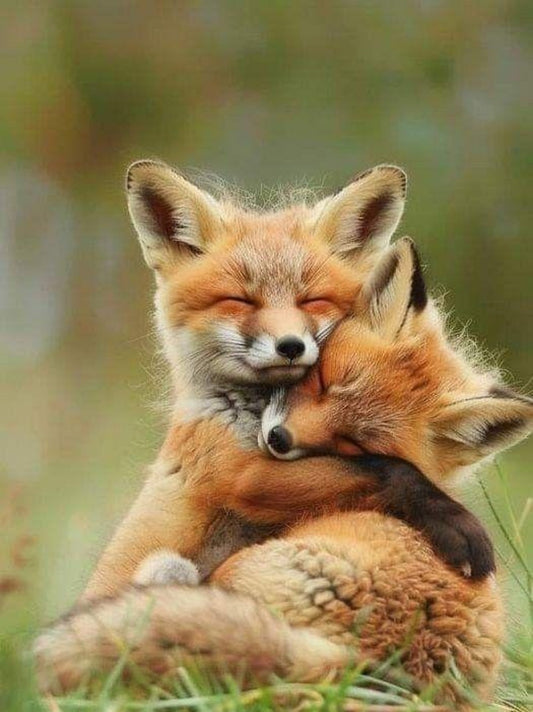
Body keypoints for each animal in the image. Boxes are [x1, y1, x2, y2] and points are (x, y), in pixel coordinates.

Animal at [35, 239, 532, 708]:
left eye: (352, 441)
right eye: (322, 381)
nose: (277, 439)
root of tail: (364, 665)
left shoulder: (249, 477)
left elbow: (384, 469)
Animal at [82, 160, 494, 603]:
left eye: (311, 300)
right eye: (240, 301)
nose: (291, 346)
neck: (250, 414)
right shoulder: (238, 473)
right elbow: (387, 469)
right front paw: (457, 522)